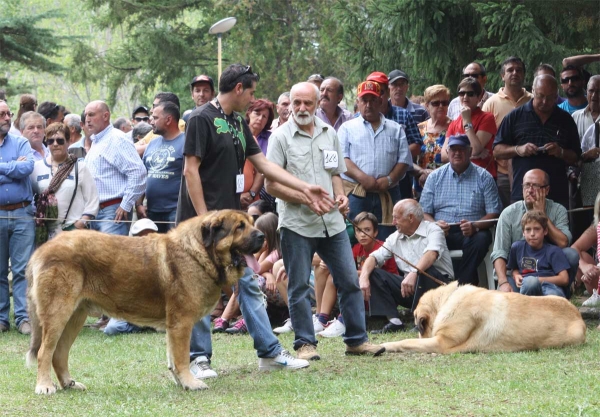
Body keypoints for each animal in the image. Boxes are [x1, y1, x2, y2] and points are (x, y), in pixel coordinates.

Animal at [25, 210, 264, 394]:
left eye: (251, 223)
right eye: (239, 227)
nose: (262, 235)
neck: (199, 252)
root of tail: (41, 249)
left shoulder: (174, 326)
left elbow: (173, 359)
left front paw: (180, 382)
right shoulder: (182, 323)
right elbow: (181, 358)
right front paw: (190, 383)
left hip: (75, 316)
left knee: (59, 353)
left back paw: (69, 383)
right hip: (58, 314)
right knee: (45, 352)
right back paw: (45, 386)